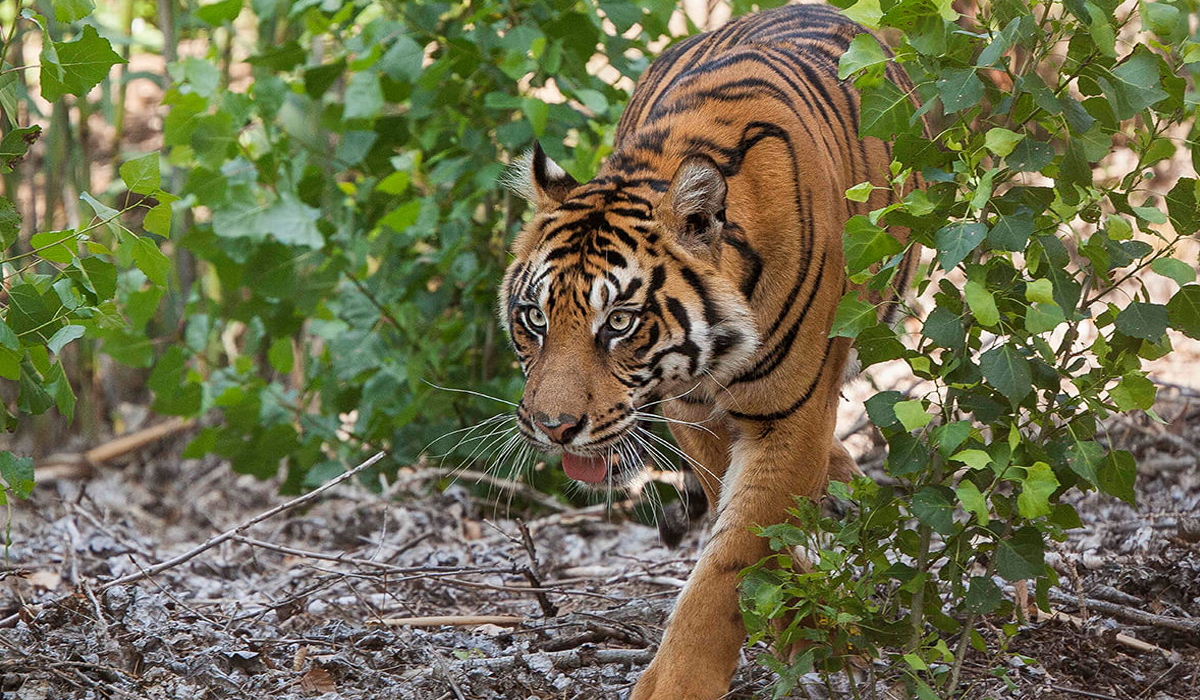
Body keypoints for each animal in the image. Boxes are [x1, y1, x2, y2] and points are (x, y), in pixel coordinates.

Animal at [496, 4, 916, 696]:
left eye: (619, 322)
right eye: (534, 318)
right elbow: (740, 527)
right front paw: (801, 626)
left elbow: (731, 563)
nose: (553, 429)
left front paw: (678, 682)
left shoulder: (789, 414)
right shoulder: (693, 410)